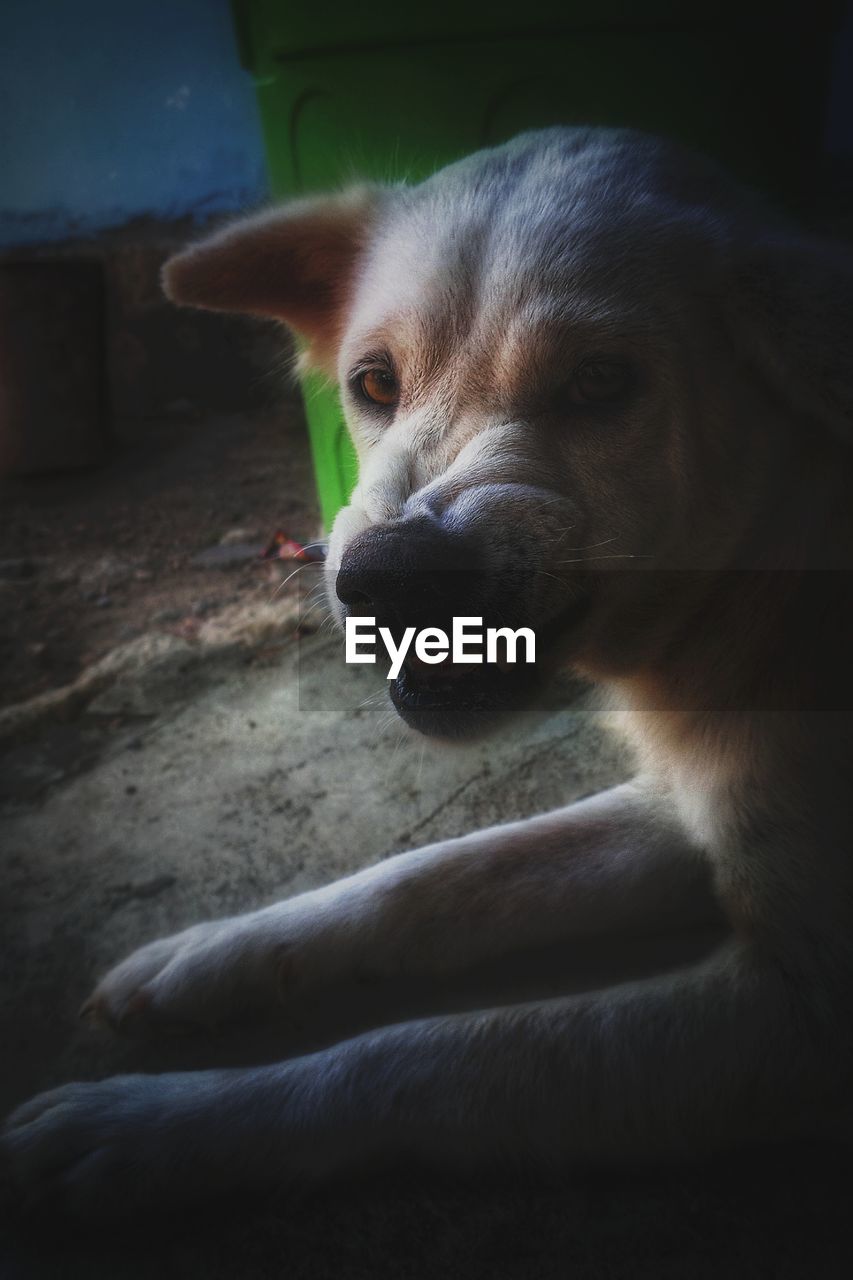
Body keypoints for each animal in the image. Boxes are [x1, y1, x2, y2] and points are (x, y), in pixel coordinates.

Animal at [1, 129, 850, 1218]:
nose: (387, 580)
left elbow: (435, 1054)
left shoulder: (805, 1010)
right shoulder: (681, 807)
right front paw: (209, 954)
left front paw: (146, 1124)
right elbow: (430, 876)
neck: (769, 587)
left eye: (600, 382)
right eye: (373, 383)